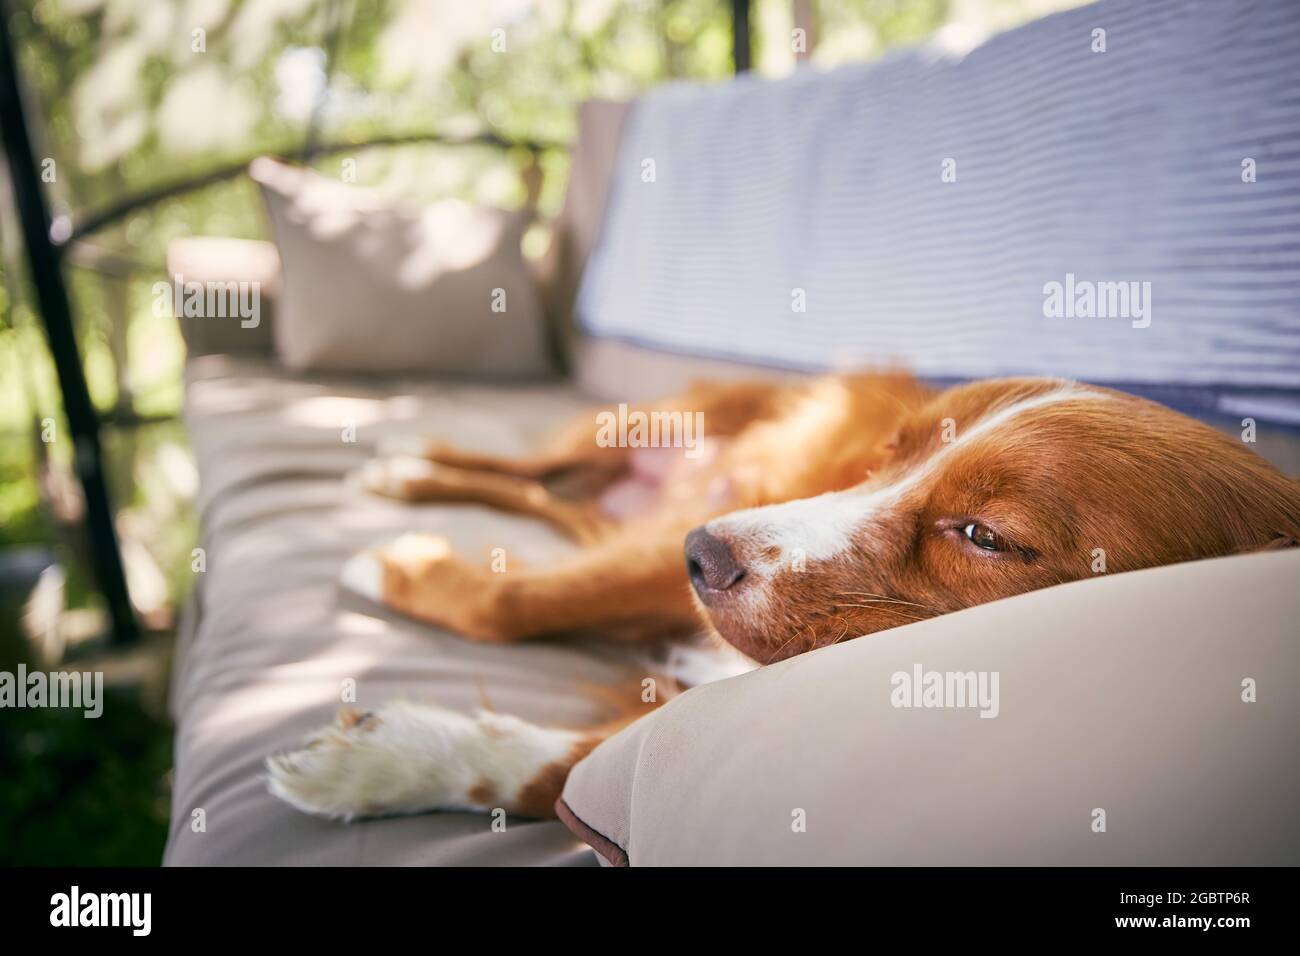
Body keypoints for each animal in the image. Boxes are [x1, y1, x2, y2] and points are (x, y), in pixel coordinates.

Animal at [263, 374, 1300, 822]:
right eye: (888, 455)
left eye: (986, 536)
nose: (706, 554)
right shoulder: (676, 553)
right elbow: (517, 606)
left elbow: (568, 767)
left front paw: (387, 763)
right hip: (644, 444)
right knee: (530, 472)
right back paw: (411, 463)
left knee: (545, 500)